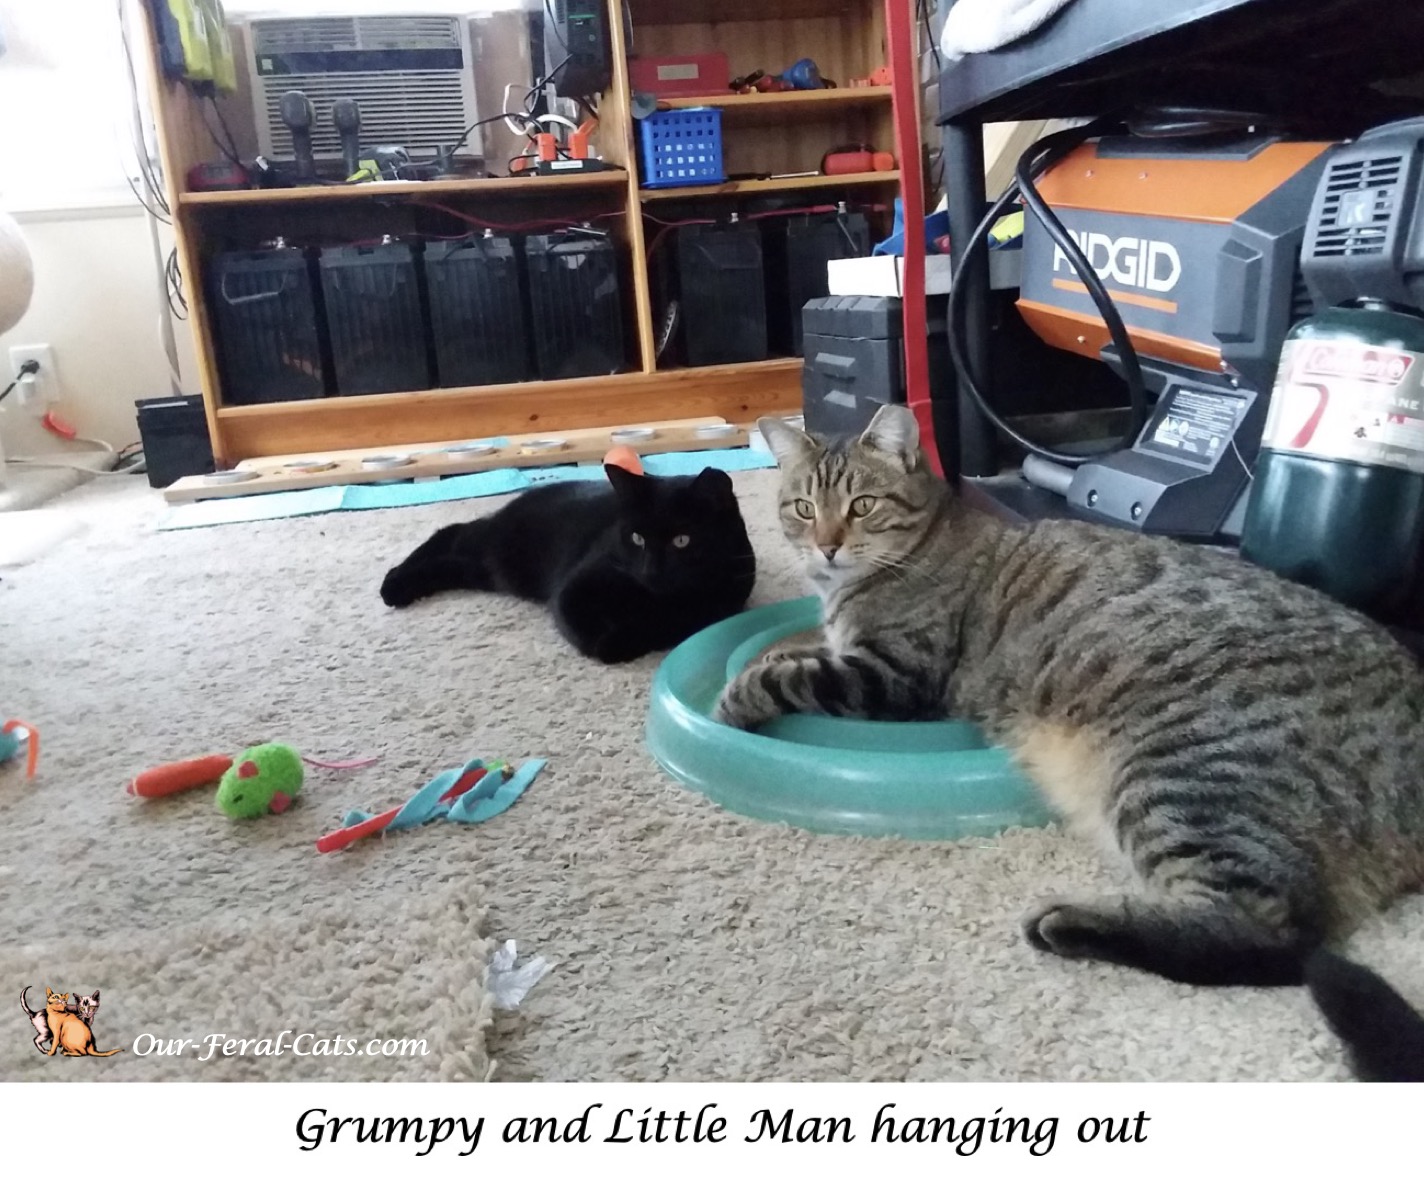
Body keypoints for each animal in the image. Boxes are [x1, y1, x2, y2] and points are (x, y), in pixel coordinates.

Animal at [381, 463, 756, 664]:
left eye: (682, 540)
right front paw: (608, 642)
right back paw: (392, 583)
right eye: (637, 538)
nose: (651, 569)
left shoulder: (713, 611)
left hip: (493, 571)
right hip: (500, 548)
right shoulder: (573, 588)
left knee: (453, 561)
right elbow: (583, 627)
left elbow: (664, 626)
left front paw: (626, 634)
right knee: (452, 531)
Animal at [717, 403, 1424, 1082]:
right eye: (803, 508)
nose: (827, 546)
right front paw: (771, 653)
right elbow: (794, 649)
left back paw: (1072, 924)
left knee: (1276, 940)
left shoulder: (895, 677)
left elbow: (786, 676)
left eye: (862, 504)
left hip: (1182, 776)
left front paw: (734, 701)